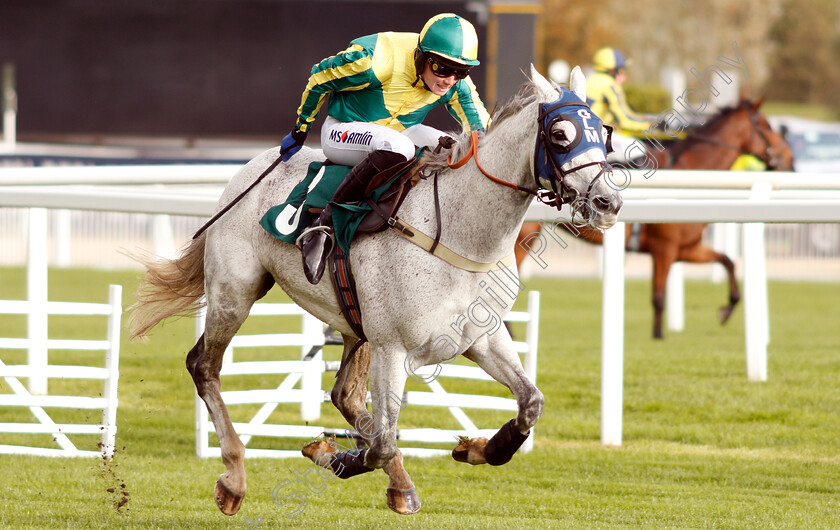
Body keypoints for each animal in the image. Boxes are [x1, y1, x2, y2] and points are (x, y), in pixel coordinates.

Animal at [516, 97, 796, 336]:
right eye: (767, 126)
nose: (790, 160)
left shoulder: (685, 249)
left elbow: (726, 261)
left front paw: (727, 309)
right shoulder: (664, 249)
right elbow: (659, 299)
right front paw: (658, 338)